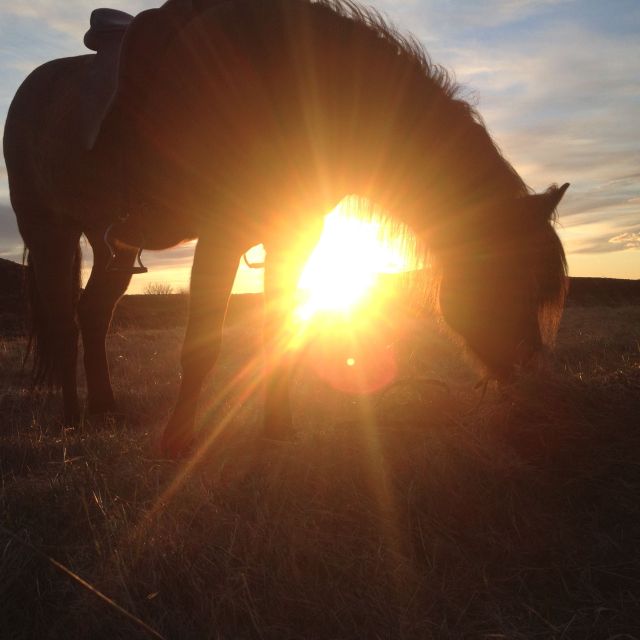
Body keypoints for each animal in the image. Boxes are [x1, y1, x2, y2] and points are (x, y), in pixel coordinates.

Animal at [1, 1, 568, 460]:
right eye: (509, 280)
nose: (528, 384)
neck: (291, 86)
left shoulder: (294, 236)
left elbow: (280, 336)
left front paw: (278, 429)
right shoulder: (222, 234)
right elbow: (202, 345)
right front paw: (178, 443)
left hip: (114, 245)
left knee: (94, 314)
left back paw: (106, 410)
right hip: (50, 233)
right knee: (64, 324)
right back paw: (73, 422)